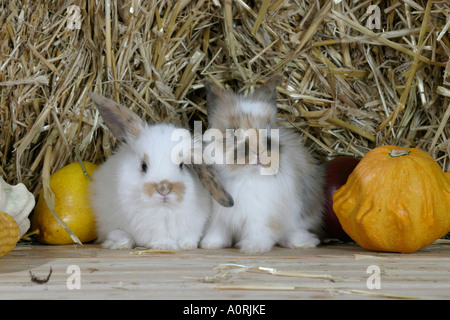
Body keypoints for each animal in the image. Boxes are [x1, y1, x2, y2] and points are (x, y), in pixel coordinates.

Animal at [89, 92, 234, 250]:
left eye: (182, 165)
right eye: (143, 165)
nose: (164, 188)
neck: (164, 210)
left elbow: (189, 237)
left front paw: (186, 245)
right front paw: (165, 245)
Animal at [200, 76, 324, 254]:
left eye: (269, 132)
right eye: (233, 133)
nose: (258, 152)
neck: (246, 176)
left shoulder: (262, 217)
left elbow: (259, 231)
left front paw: (253, 248)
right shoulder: (219, 216)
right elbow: (217, 231)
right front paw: (210, 245)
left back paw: (303, 242)